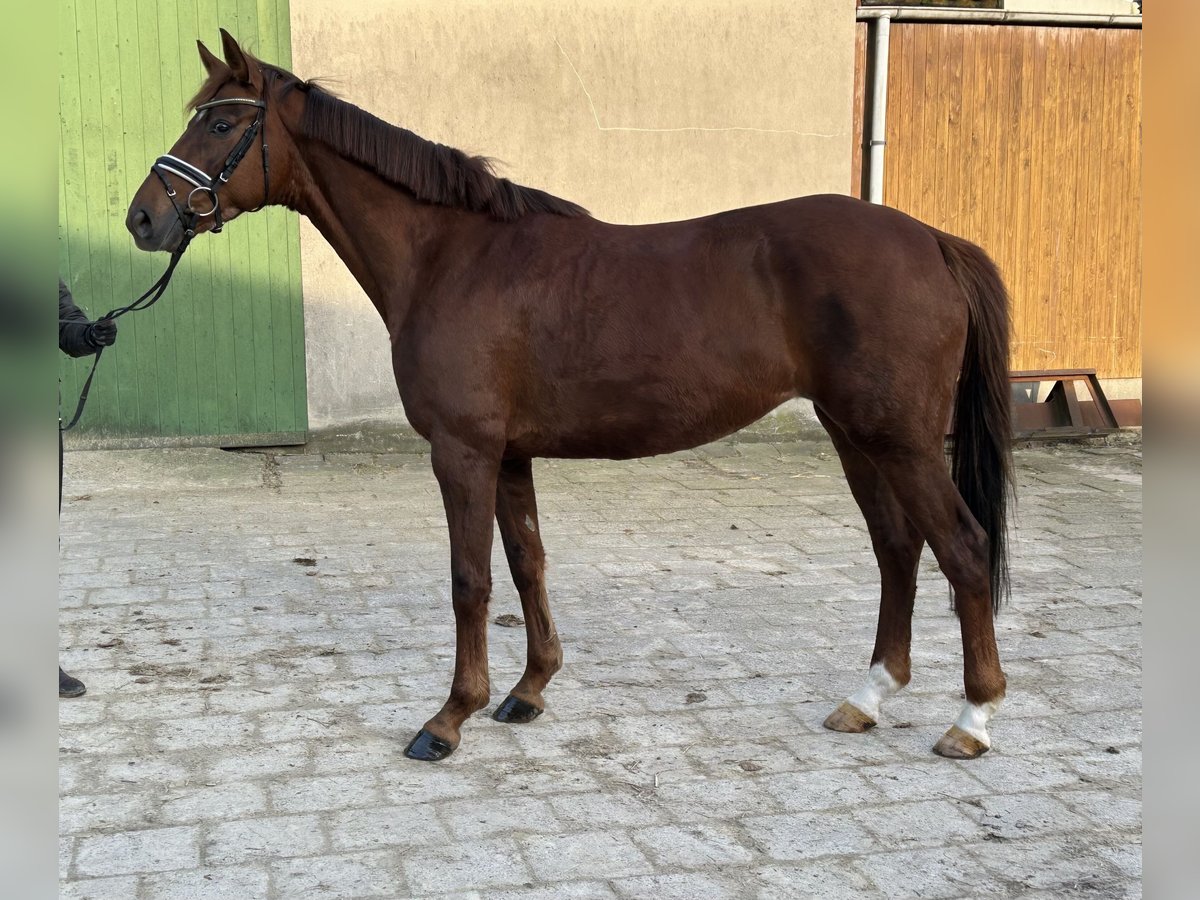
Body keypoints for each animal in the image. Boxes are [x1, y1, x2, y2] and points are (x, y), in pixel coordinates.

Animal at [129, 31, 1012, 763]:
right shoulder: (509, 455)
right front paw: (527, 692)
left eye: (220, 124)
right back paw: (866, 698)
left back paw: (971, 721)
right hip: (853, 434)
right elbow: (527, 565)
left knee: (963, 550)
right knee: (898, 549)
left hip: (897, 439)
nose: (143, 218)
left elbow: (471, 581)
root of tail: (931, 240)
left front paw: (448, 719)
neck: (451, 256)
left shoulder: (463, 451)